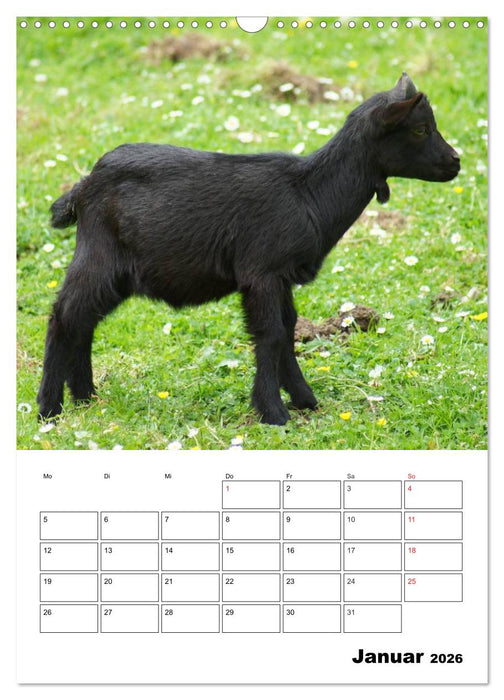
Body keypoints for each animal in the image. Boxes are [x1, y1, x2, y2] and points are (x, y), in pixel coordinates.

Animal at [37, 73, 460, 425]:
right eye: (421, 128)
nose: (456, 162)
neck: (309, 193)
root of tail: (83, 185)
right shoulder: (261, 271)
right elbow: (270, 333)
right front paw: (273, 412)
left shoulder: (282, 275)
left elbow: (288, 329)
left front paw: (306, 401)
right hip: (99, 255)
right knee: (64, 316)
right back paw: (49, 408)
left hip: (118, 271)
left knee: (85, 320)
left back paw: (85, 398)